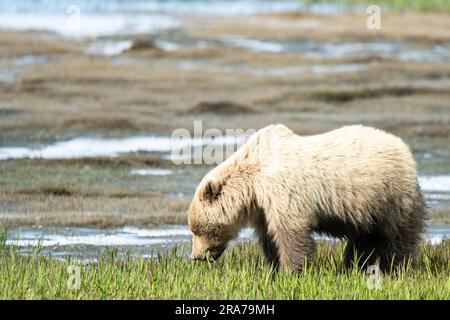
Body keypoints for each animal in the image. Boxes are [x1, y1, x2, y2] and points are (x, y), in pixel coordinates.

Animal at [188, 124, 428, 272]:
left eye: (198, 229)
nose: (196, 257)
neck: (251, 186)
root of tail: (403, 148)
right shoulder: (263, 207)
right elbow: (270, 236)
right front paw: (274, 265)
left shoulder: (282, 190)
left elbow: (291, 233)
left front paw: (290, 271)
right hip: (365, 205)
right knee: (365, 236)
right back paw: (355, 265)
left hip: (392, 193)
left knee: (401, 234)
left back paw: (396, 267)